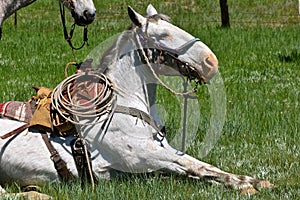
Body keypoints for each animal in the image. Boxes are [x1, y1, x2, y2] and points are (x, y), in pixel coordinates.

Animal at [0, 4, 272, 198]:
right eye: (164, 35)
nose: (211, 62)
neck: (124, 105)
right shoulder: (146, 155)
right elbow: (194, 165)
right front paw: (247, 185)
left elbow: (198, 167)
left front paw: (255, 181)